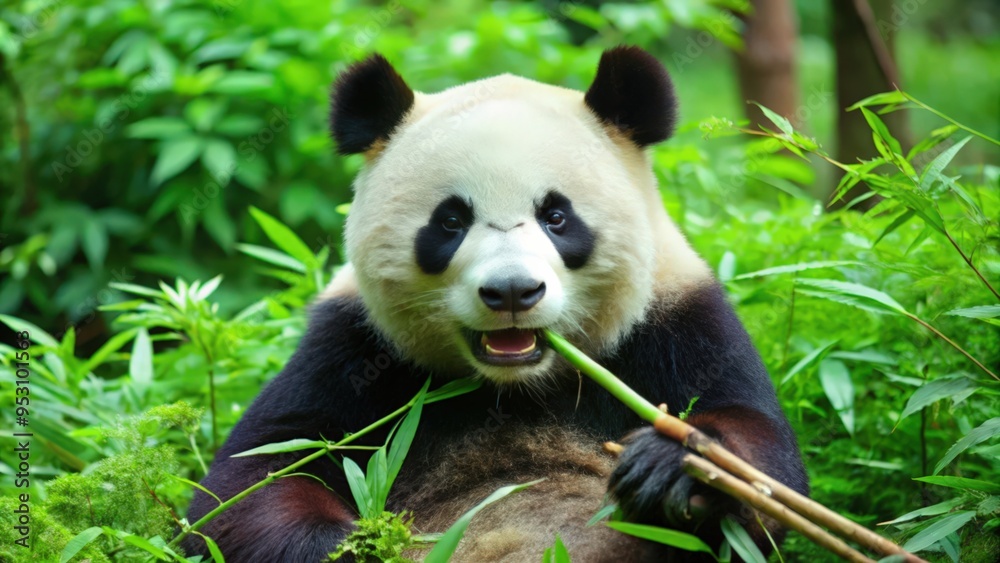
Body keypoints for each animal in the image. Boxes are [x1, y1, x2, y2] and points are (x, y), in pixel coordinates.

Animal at [185, 46, 808, 562]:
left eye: (556, 216)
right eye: (450, 221)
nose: (511, 290)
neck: (518, 386)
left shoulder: (678, 321)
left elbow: (767, 465)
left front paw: (674, 466)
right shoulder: (350, 346)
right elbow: (254, 479)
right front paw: (359, 544)